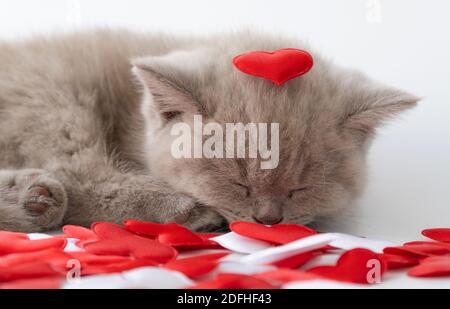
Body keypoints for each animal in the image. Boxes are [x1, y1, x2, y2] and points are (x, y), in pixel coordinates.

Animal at [0, 29, 418, 231]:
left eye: (301, 189)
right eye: (238, 183)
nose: (269, 219)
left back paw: (27, 197)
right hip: (47, 90)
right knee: (76, 171)